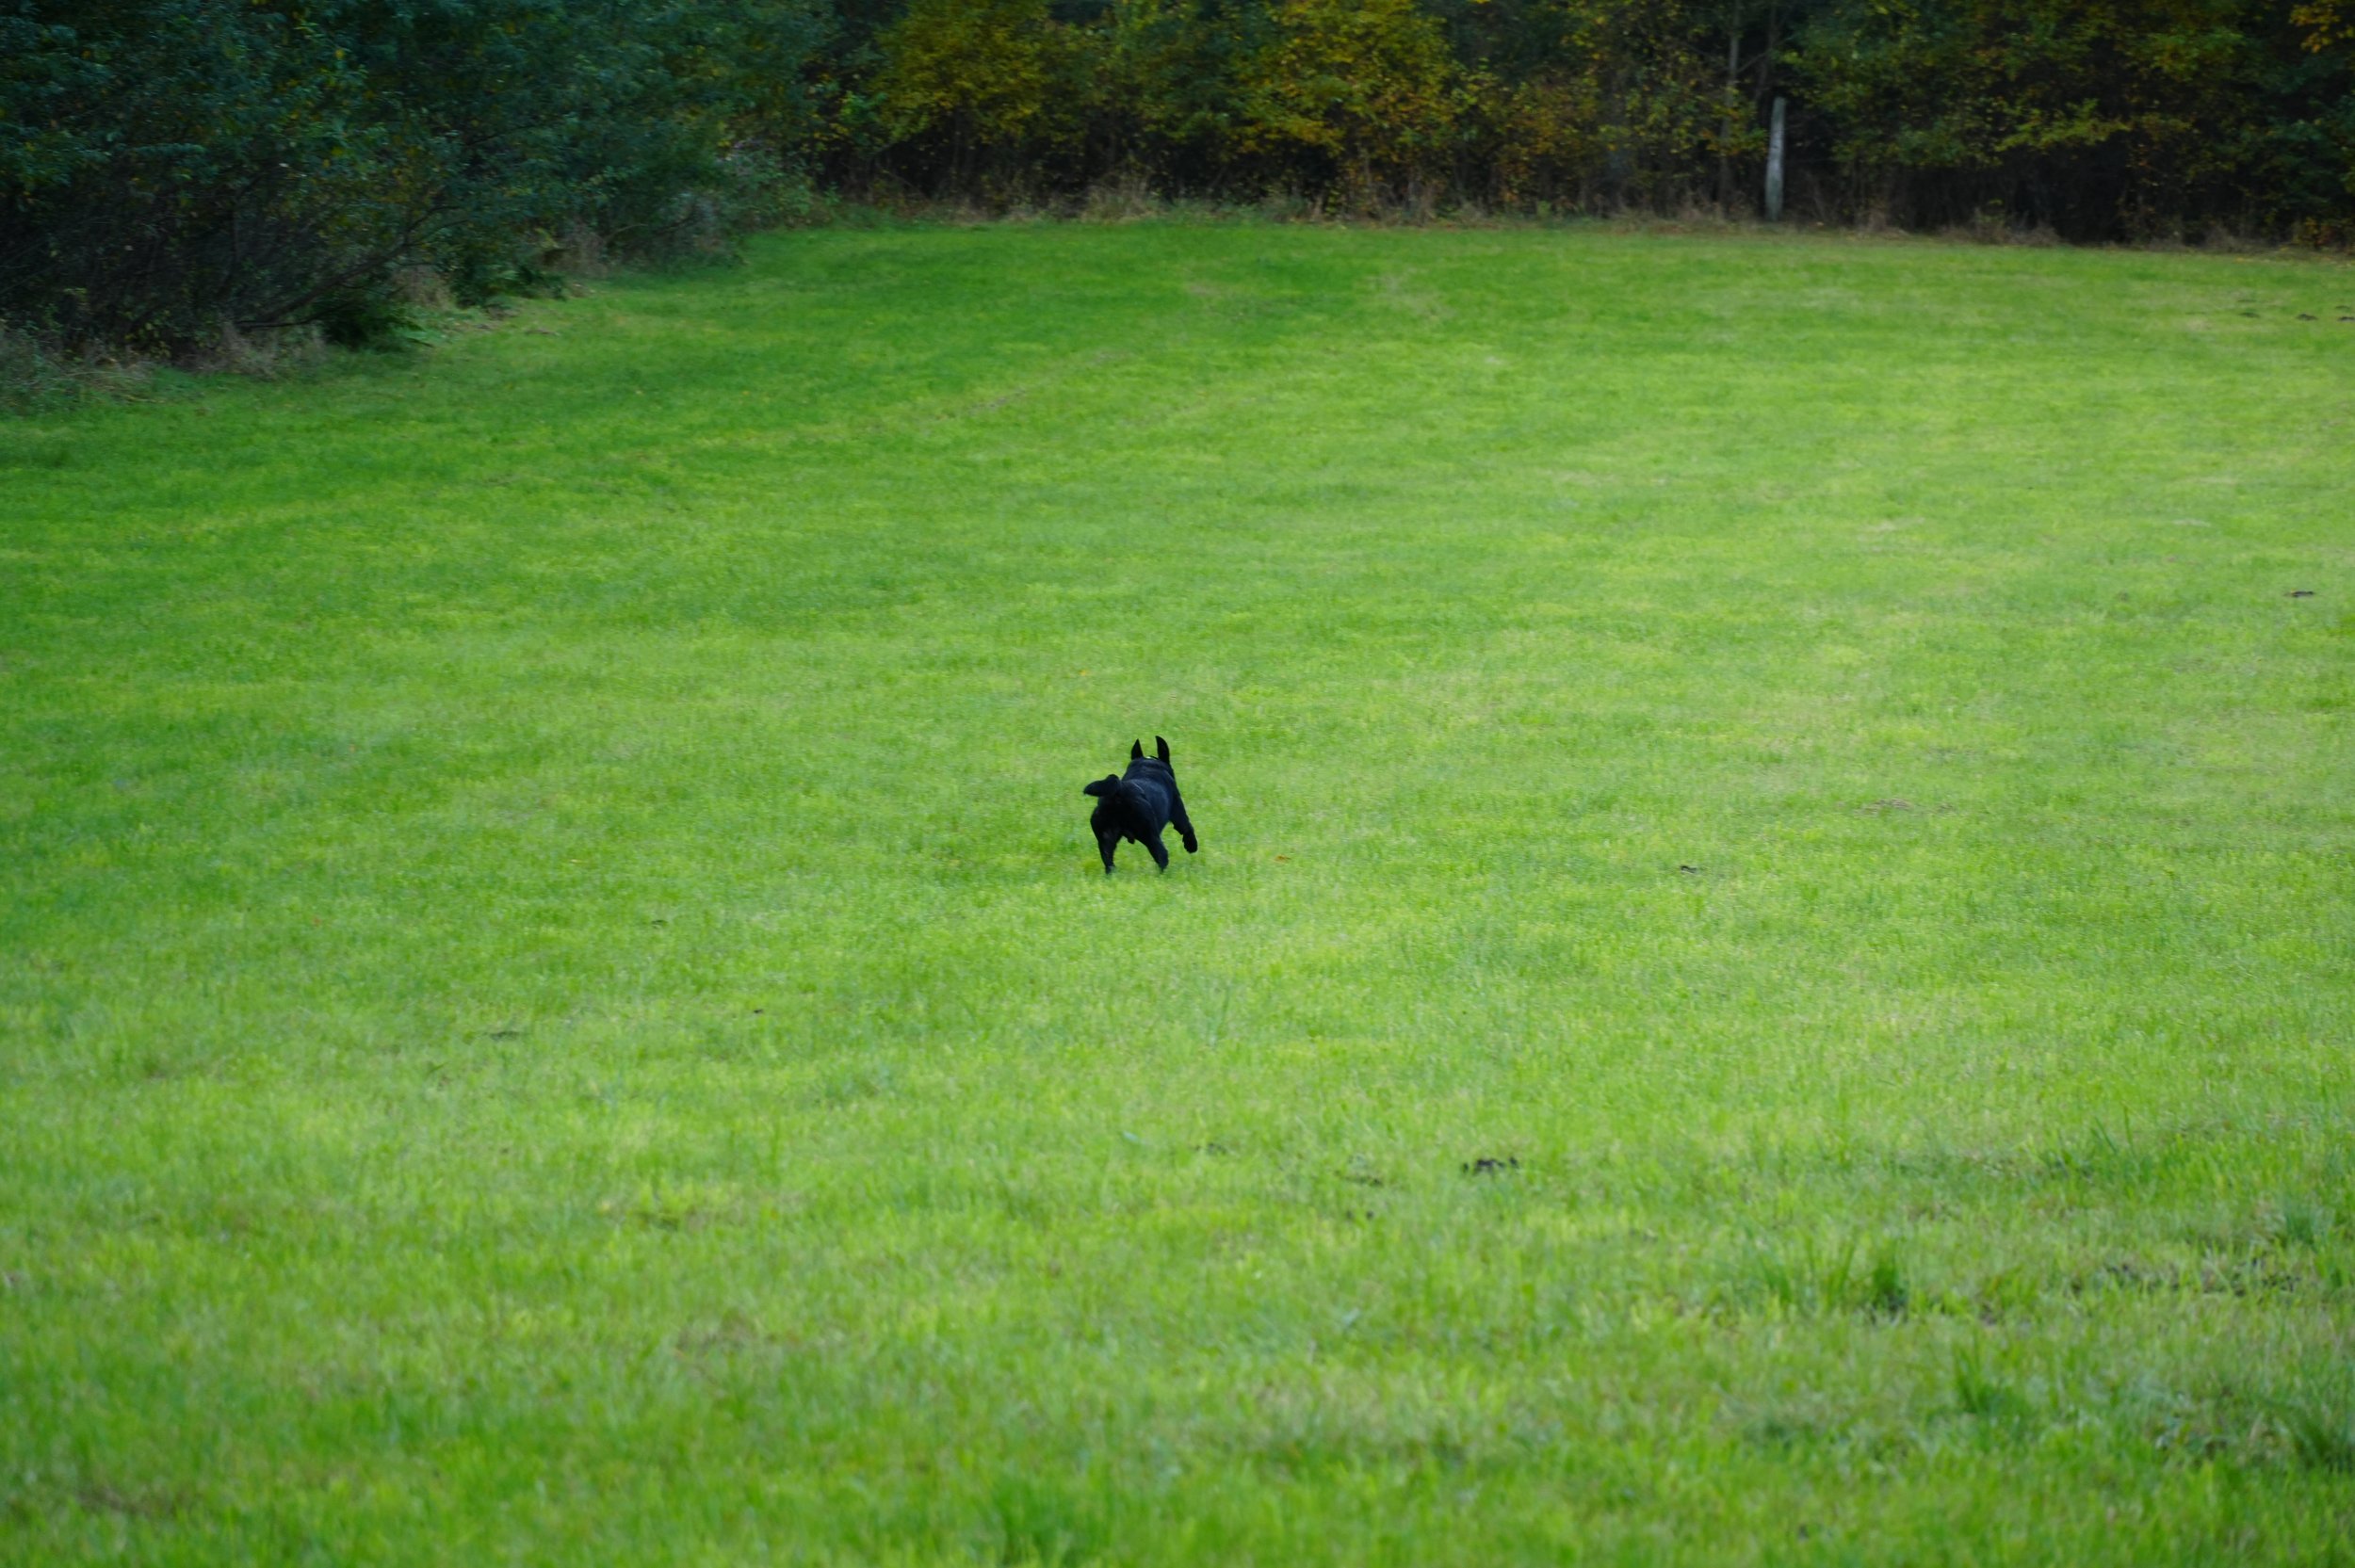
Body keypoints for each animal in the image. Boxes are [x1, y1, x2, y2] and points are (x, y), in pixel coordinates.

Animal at [1083, 737, 1199, 874]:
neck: (1147, 766)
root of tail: (1120, 789)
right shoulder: (1179, 813)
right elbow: (1188, 829)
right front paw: (1191, 846)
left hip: (1106, 837)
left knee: (1108, 861)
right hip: (1151, 835)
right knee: (1162, 854)